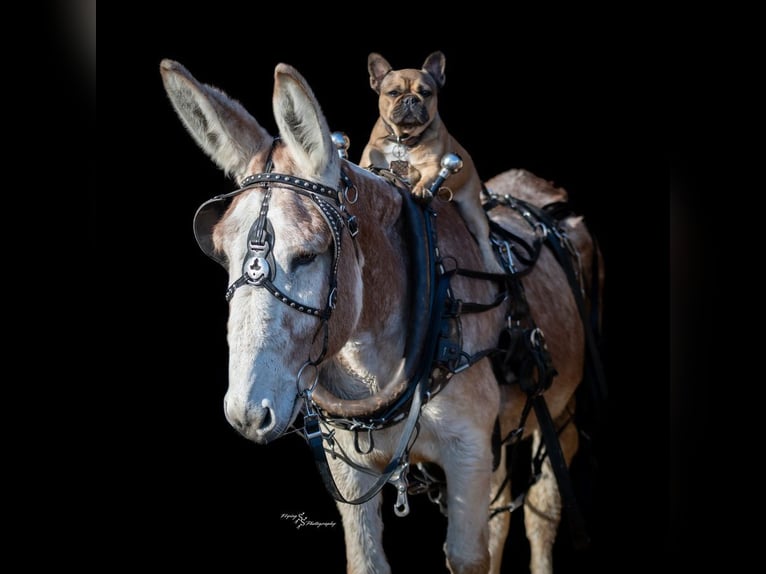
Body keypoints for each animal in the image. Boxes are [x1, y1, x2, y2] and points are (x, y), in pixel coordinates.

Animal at [160, 58, 603, 574]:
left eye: (308, 255)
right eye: (222, 252)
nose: (247, 412)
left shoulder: (470, 452)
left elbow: (470, 554)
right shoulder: (352, 473)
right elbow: (369, 559)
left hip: (563, 408)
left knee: (541, 510)